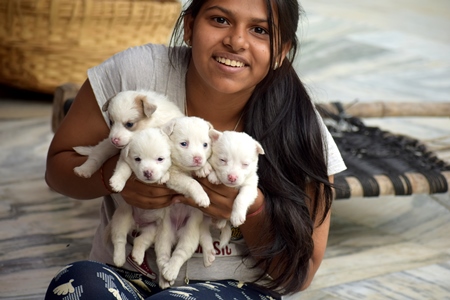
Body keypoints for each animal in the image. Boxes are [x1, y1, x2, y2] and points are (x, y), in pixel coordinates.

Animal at [107, 127, 172, 268]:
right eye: (137, 159)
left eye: (160, 159)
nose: (147, 172)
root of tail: (137, 224)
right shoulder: (124, 161)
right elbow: (123, 170)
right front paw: (117, 182)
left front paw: (164, 176)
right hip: (122, 217)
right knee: (119, 239)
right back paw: (119, 259)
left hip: (152, 229)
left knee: (140, 240)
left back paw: (137, 256)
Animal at [155, 116, 216, 288]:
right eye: (184, 144)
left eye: (205, 145)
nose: (198, 158)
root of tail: (176, 232)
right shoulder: (174, 177)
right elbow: (191, 182)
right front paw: (202, 196)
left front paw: (204, 168)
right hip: (163, 234)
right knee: (162, 255)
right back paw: (166, 275)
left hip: (189, 235)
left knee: (180, 253)